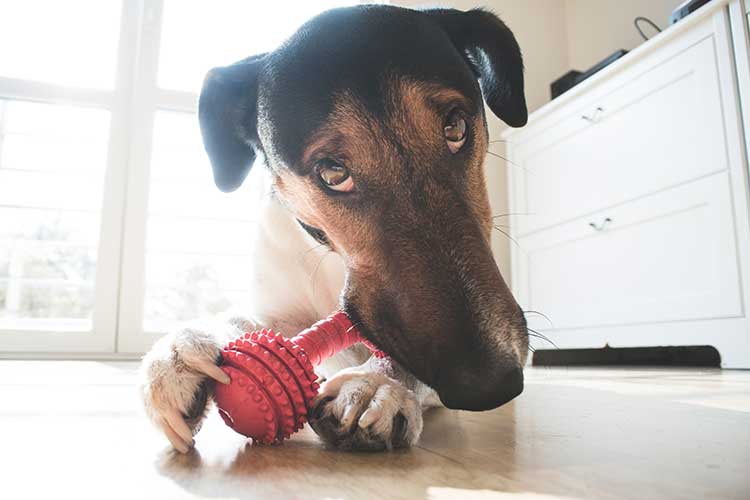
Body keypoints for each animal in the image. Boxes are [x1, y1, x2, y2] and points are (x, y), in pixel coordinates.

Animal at [140, 3, 528, 456]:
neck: (332, 260)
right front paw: (186, 346)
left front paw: (376, 382)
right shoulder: (280, 310)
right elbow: (248, 322)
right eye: (332, 173)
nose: (492, 383)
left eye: (455, 128)